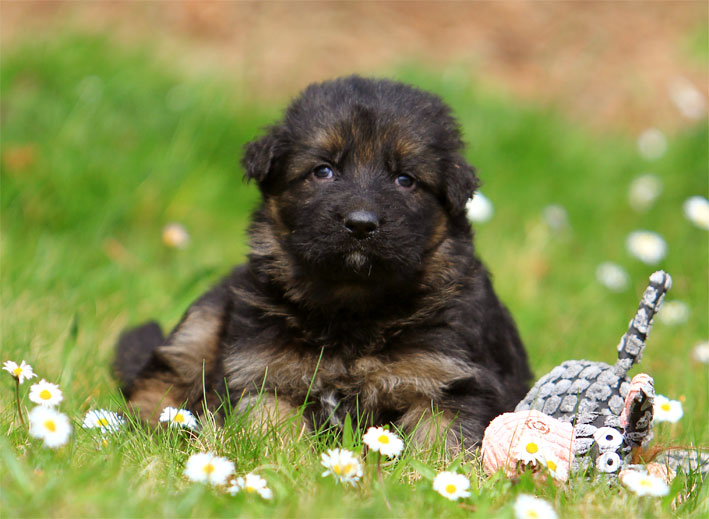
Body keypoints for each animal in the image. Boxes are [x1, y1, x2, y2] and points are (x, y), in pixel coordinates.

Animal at [114, 76, 532, 450]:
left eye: (405, 179)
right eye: (323, 171)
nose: (361, 224)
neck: (352, 308)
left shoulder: (450, 382)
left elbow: (438, 446)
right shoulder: (262, 375)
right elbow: (270, 429)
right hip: (203, 321)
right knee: (161, 379)